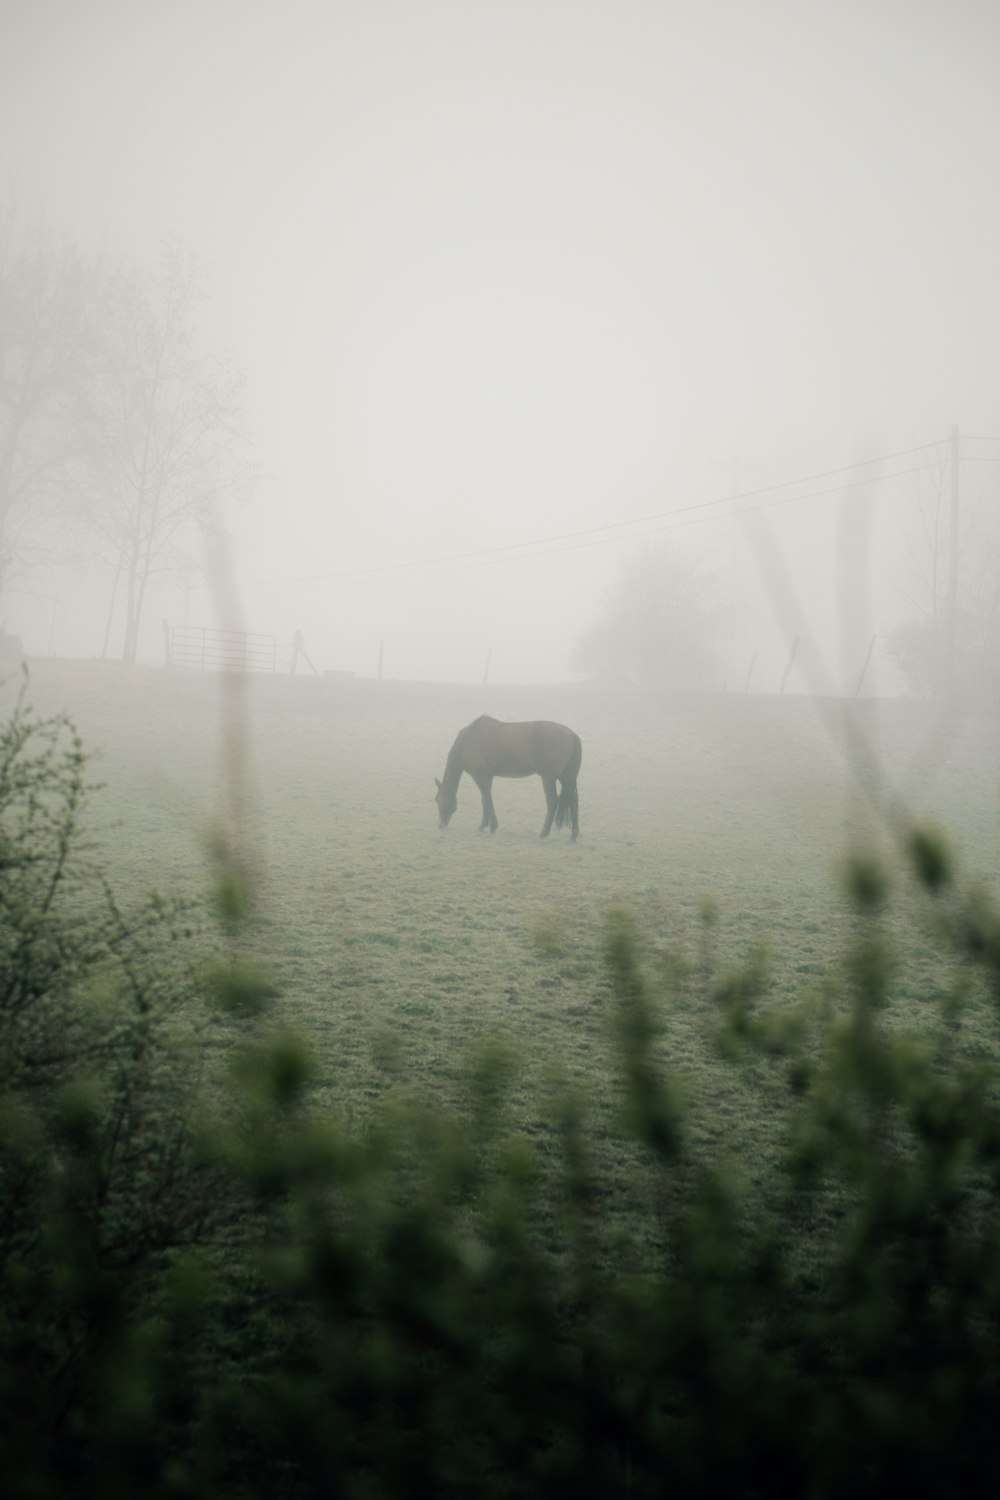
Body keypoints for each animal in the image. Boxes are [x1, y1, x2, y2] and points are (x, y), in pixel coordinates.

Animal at [434, 711, 581, 840]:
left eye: (437, 800)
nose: (441, 825)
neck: (469, 740)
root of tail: (571, 734)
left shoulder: (479, 776)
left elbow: (487, 799)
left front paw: (490, 826)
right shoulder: (487, 776)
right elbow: (485, 799)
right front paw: (484, 826)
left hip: (548, 777)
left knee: (552, 801)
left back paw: (543, 833)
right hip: (565, 777)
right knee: (573, 801)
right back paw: (573, 835)